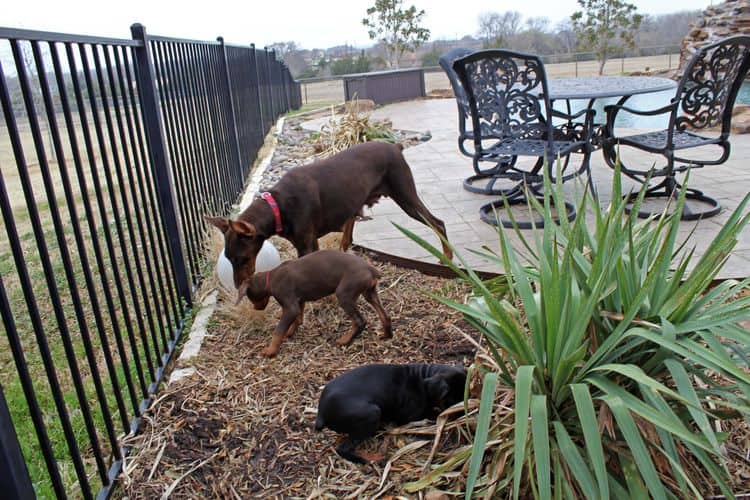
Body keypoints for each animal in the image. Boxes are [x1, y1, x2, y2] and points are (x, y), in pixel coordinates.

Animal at [207, 141, 452, 300]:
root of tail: (395, 147)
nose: (237, 287)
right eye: (228, 258)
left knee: (438, 223)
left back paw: (448, 260)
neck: (277, 206)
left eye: (244, 259)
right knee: (350, 227)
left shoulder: (307, 245)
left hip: (404, 194)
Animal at [244, 252, 394, 358]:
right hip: (370, 293)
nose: (256, 308)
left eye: (250, 297)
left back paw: (345, 341)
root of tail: (371, 269)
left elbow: (278, 331)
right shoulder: (299, 301)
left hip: (344, 295)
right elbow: (298, 319)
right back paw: (386, 335)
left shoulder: (291, 307)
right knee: (384, 315)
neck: (271, 278)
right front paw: (290, 332)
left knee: (359, 321)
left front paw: (270, 351)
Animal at [314, 364, 468, 464]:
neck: (424, 379)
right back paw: (364, 460)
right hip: (373, 413)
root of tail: (321, 413)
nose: (464, 414)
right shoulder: (411, 416)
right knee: (343, 449)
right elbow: (431, 414)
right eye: (451, 401)